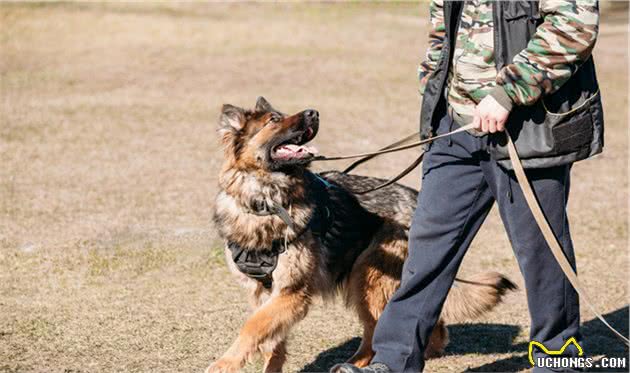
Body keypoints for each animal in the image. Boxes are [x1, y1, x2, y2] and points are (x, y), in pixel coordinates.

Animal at [212, 97, 520, 370]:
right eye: (274, 120)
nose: (314, 113)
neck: (265, 201)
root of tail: (415, 199)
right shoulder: (264, 292)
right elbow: (271, 341)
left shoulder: (292, 292)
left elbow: (252, 327)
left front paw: (224, 364)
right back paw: (428, 348)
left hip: (366, 277)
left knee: (374, 331)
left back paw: (355, 363)